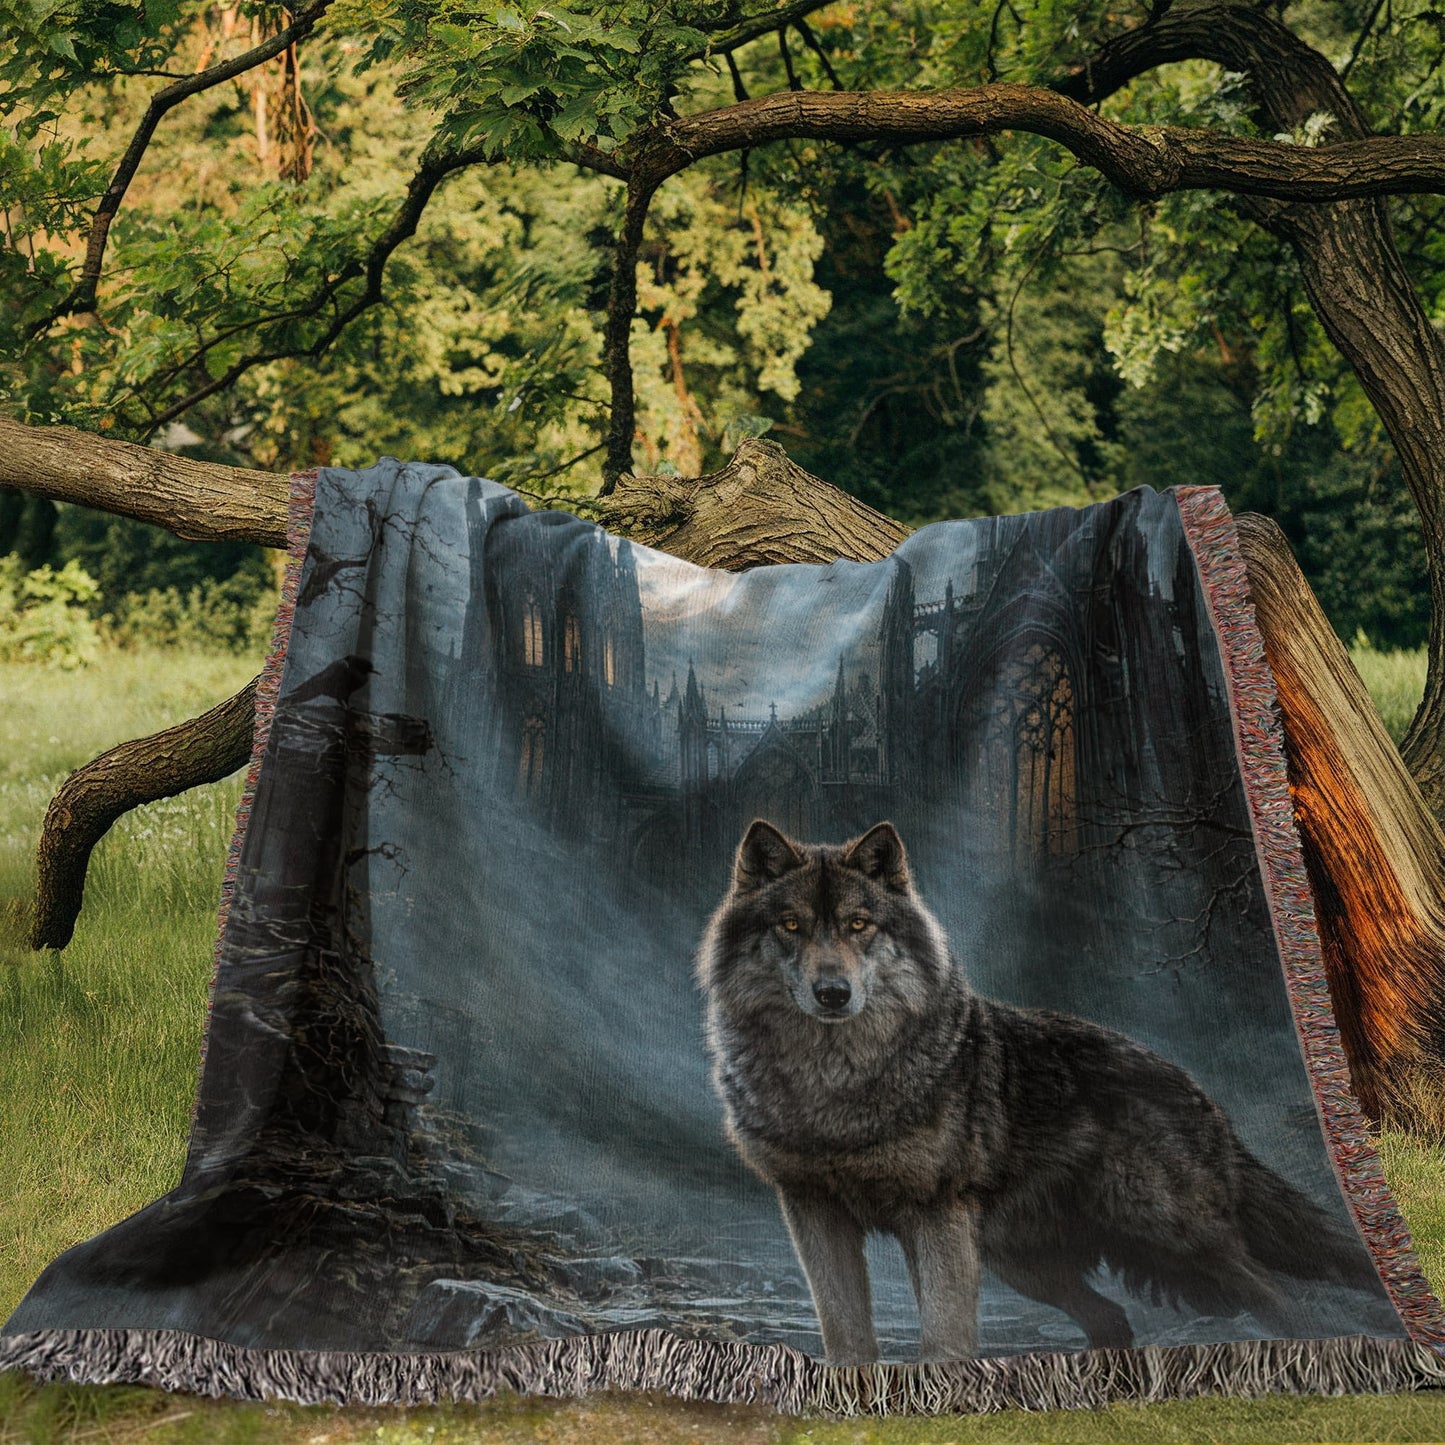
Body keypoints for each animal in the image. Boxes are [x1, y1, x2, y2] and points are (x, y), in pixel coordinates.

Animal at [695, 818, 1383, 1364]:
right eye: (791, 925)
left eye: (859, 925)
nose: (833, 994)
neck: (834, 1081)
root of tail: (1200, 1092)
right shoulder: (813, 1211)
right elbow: (845, 1333)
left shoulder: (935, 1215)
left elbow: (944, 1337)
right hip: (1025, 1264)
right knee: (1114, 1318)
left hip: (1174, 1243)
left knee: (1285, 1300)